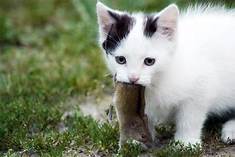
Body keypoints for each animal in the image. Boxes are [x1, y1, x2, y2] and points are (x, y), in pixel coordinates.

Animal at [96, 1, 235, 145]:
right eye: (121, 60)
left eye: (149, 61)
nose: (133, 78)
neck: (158, 81)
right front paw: (138, 139)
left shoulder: (201, 87)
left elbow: (190, 117)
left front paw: (186, 142)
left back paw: (230, 132)